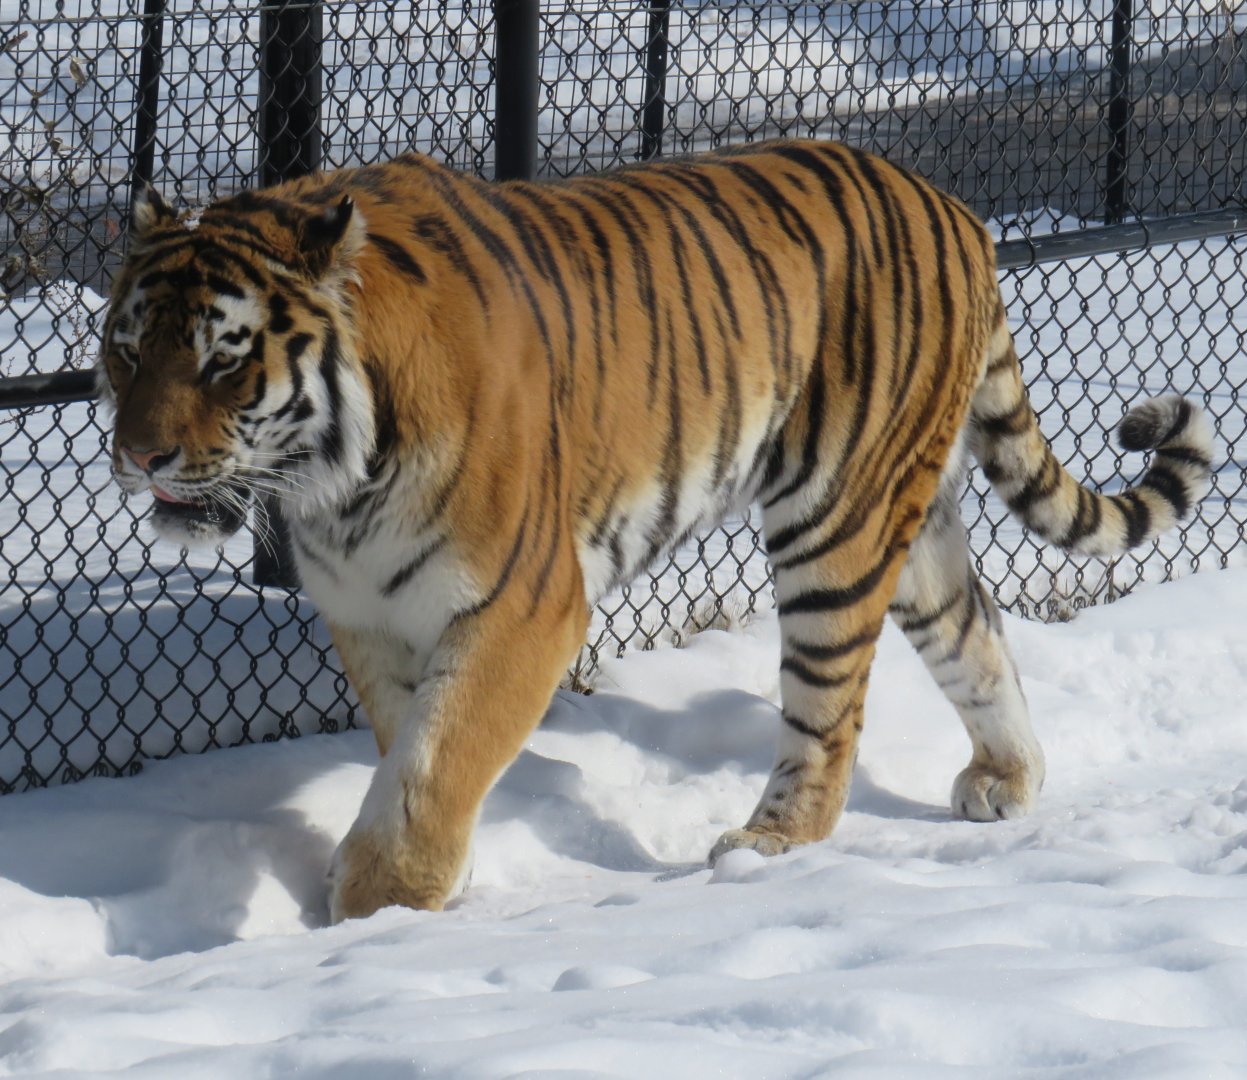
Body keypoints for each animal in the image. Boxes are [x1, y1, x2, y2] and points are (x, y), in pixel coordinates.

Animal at [97, 139, 1214, 921]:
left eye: (223, 361)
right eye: (127, 351)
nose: (139, 457)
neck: (333, 480)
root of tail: (955, 211)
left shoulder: (525, 604)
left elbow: (438, 756)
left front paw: (378, 906)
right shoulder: (370, 612)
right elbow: (407, 748)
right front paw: (430, 882)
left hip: (833, 524)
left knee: (828, 711)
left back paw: (766, 847)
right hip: (912, 516)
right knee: (975, 633)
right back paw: (1005, 782)